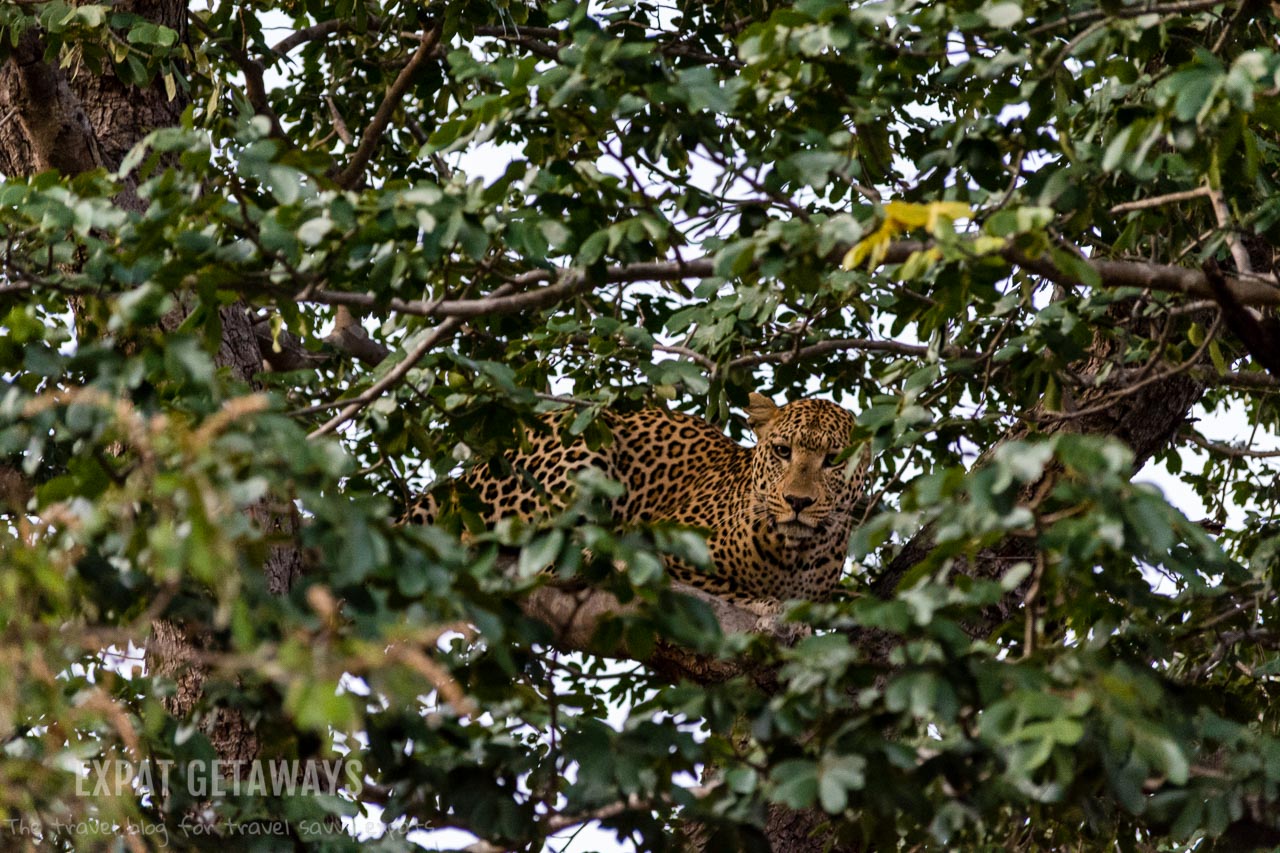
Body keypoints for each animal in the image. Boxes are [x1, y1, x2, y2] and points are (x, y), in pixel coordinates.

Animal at [409, 394, 870, 604]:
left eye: (833, 460)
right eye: (782, 451)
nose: (797, 501)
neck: (796, 553)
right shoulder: (669, 544)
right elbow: (737, 590)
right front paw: (764, 601)